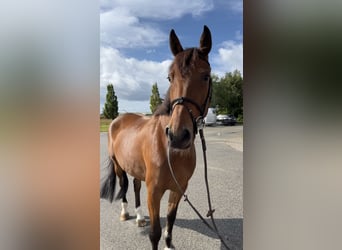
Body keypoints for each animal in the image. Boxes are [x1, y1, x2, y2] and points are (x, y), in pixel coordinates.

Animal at [99, 25, 211, 250]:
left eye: (205, 76)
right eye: (170, 77)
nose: (178, 136)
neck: (170, 151)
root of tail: (118, 119)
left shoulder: (179, 189)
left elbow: (170, 220)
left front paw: (169, 245)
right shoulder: (154, 191)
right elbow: (155, 233)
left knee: (135, 186)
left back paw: (140, 217)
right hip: (118, 165)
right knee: (124, 186)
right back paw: (125, 213)